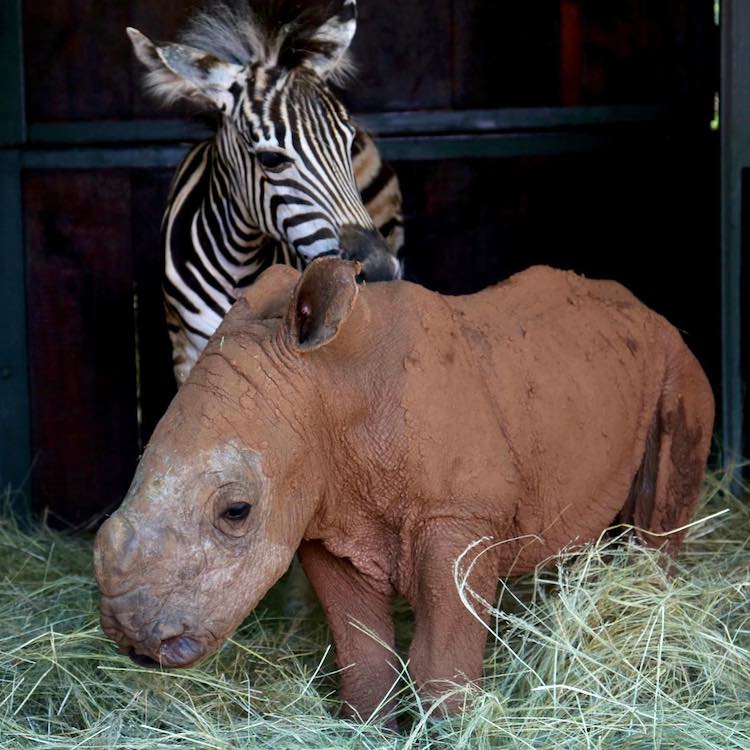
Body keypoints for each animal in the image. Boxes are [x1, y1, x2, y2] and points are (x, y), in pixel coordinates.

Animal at [95, 258, 716, 724]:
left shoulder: (458, 515)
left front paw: (452, 728)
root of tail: (648, 310)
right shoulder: (329, 519)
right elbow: (361, 649)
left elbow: (441, 655)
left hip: (679, 364)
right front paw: (369, 726)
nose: (131, 639)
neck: (331, 390)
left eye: (236, 511)